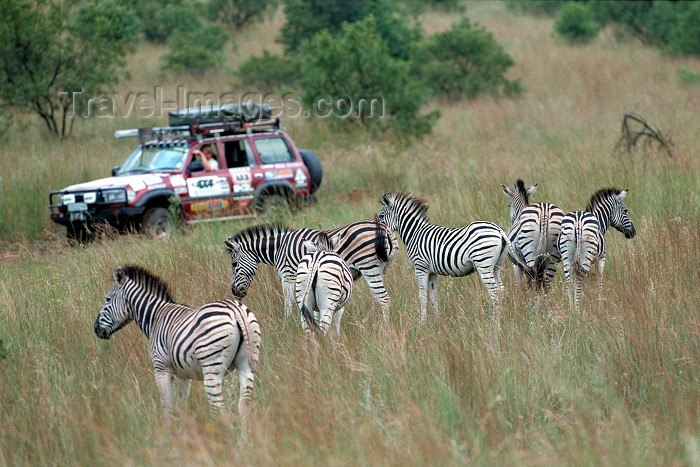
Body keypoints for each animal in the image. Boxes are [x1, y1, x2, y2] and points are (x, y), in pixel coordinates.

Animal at [91, 266, 258, 424]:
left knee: (218, 407)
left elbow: (166, 404)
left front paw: (167, 431)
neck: (155, 317)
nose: (96, 328)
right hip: (247, 364)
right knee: (244, 404)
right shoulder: (185, 374)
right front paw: (182, 430)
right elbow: (181, 406)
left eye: (107, 299)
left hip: (212, 366)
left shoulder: (161, 368)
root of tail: (237, 311)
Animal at [226, 219, 400, 322]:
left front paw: (287, 321)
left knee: (383, 298)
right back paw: (366, 322)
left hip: (369, 266)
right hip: (380, 269)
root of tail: (386, 230)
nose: (234, 292)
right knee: (377, 297)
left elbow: (288, 299)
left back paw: (384, 327)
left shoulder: (288, 275)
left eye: (234, 264)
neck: (278, 248)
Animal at [378, 192, 508, 324]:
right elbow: (433, 297)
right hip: (496, 267)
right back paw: (502, 318)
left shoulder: (420, 267)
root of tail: (499, 230)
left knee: (494, 292)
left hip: (483, 264)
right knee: (501, 290)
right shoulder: (432, 272)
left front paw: (422, 323)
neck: (414, 233)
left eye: (381, 216)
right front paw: (437, 321)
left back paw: (494, 322)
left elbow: (422, 295)